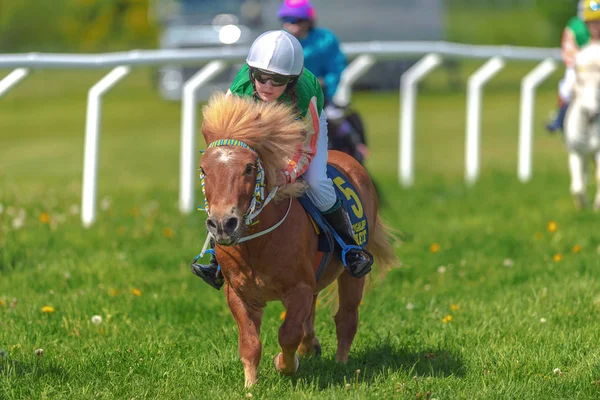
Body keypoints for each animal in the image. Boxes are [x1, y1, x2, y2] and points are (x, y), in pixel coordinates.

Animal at [199, 92, 400, 386]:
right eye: (203, 170)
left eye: (249, 168)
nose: (223, 224)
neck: (257, 246)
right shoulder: (237, 292)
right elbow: (250, 342)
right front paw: (250, 384)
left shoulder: (299, 288)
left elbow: (288, 332)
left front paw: (285, 364)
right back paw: (310, 348)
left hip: (352, 274)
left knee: (346, 318)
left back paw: (340, 363)